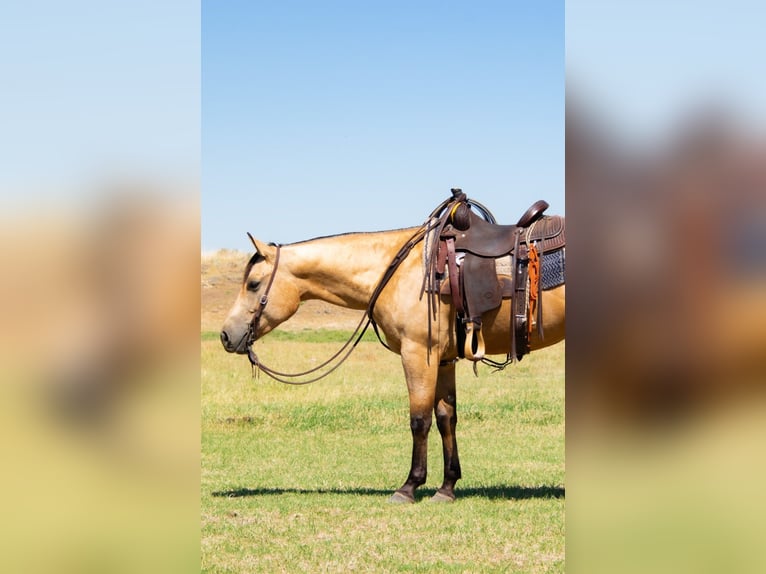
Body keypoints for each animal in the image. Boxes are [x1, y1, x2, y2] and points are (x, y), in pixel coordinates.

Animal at [220, 196, 565, 503]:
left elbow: (419, 420)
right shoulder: (443, 359)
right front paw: (447, 487)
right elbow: (446, 418)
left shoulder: (418, 354)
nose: (226, 335)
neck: (398, 270)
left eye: (253, 284)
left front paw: (409, 486)